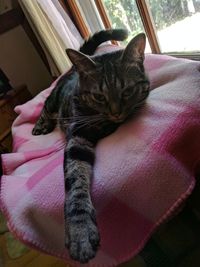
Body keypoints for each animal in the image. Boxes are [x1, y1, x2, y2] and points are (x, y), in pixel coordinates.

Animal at [32, 29, 149, 264]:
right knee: (45, 106)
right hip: (54, 98)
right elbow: (76, 183)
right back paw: (41, 125)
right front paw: (81, 231)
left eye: (127, 91)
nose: (116, 113)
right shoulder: (78, 138)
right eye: (98, 96)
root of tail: (72, 70)